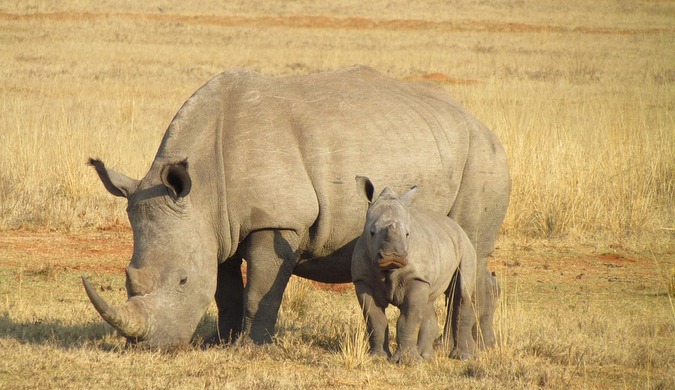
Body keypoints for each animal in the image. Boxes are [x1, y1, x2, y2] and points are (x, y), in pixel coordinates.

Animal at [352, 177, 478, 362]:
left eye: (407, 234)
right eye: (372, 232)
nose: (393, 256)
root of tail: (456, 226)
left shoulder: (417, 277)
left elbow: (409, 318)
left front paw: (407, 361)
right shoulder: (363, 279)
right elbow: (375, 318)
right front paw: (377, 358)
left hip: (466, 247)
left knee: (461, 293)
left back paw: (463, 357)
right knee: (428, 303)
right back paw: (426, 357)